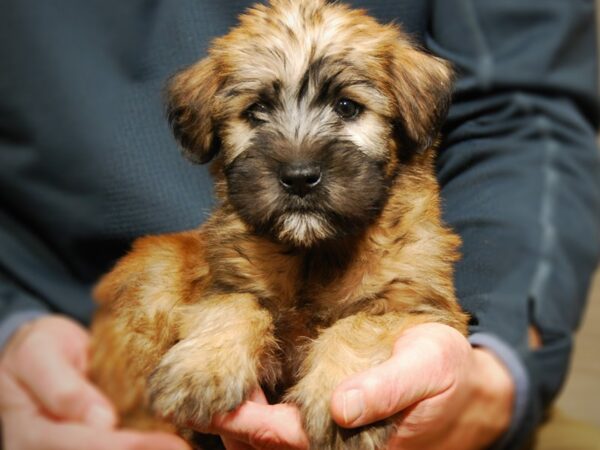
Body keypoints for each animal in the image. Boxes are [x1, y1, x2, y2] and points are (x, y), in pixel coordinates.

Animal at [89, 1, 468, 448]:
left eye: (347, 107)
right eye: (255, 112)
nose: (299, 177)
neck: (313, 255)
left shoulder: (421, 305)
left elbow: (361, 323)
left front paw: (337, 397)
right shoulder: (224, 284)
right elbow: (236, 305)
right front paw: (203, 367)